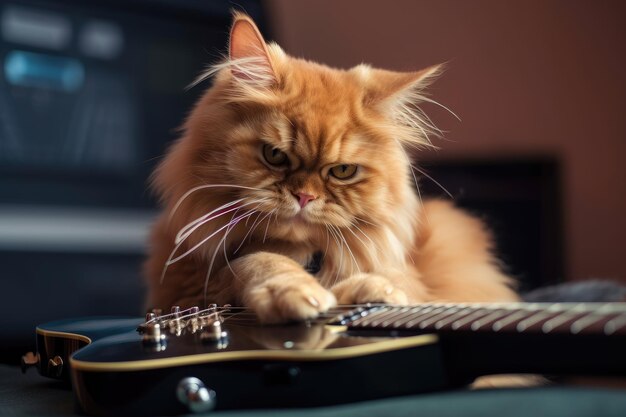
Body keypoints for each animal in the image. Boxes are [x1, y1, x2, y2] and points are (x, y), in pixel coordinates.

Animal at [144, 12, 516, 318]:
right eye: (274, 155)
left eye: (342, 171)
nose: (304, 197)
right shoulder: (189, 288)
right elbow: (259, 262)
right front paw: (297, 292)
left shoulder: (414, 277)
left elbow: (392, 281)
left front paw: (374, 289)